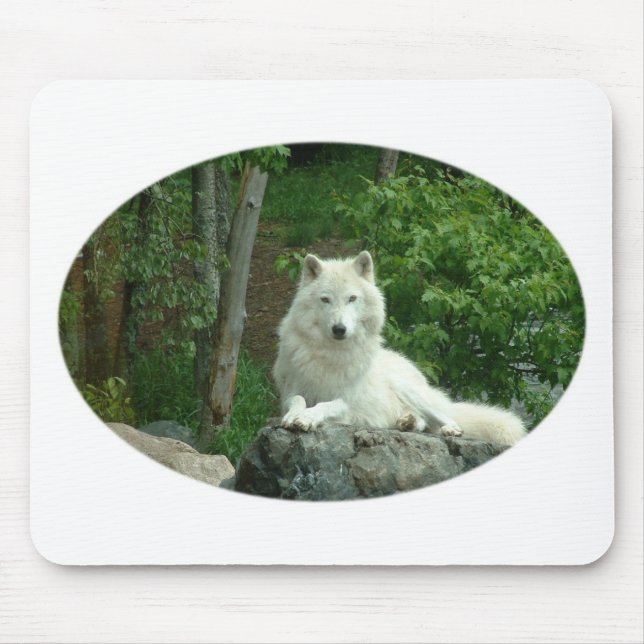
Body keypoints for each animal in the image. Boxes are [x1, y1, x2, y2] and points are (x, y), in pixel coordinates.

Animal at [273, 251, 526, 446]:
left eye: (352, 298)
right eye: (325, 299)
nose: (339, 329)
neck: (331, 354)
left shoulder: (348, 402)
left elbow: (326, 404)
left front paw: (307, 418)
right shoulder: (289, 392)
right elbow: (297, 400)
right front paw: (295, 416)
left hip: (408, 389)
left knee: (445, 418)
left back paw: (446, 428)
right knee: (423, 422)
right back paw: (407, 422)